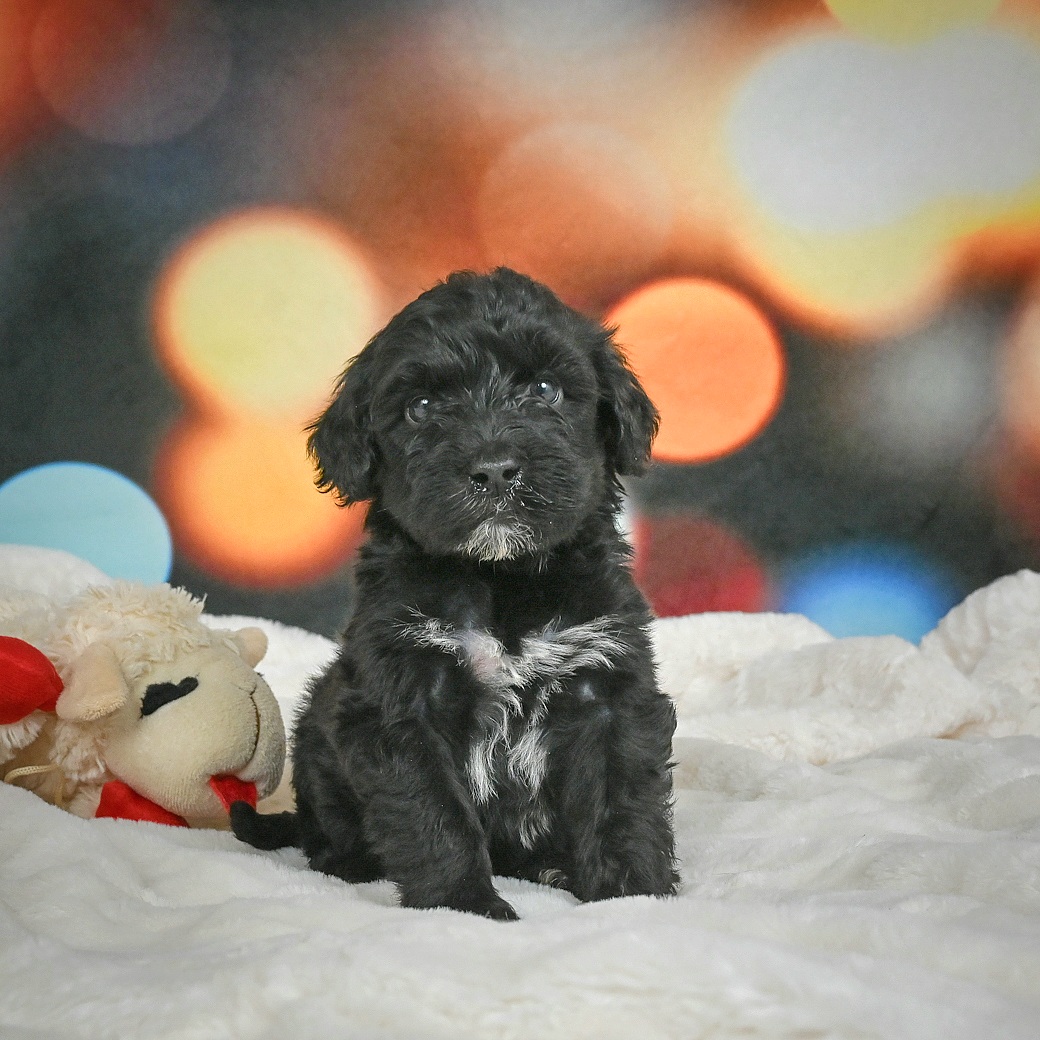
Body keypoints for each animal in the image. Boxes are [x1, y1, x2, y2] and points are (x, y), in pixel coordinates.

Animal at [232, 267, 679, 920]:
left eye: (545, 390)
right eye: (420, 409)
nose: (494, 470)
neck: (499, 576)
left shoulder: (607, 685)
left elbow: (619, 798)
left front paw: (632, 895)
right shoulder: (401, 698)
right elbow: (433, 812)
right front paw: (463, 906)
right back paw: (348, 862)